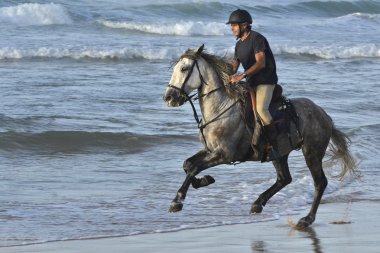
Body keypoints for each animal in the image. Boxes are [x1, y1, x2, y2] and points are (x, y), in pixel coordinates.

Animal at [162, 44, 358, 227]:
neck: (221, 108)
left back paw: (306, 219)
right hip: (280, 154)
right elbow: (188, 164)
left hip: (312, 153)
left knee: (319, 183)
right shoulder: (210, 150)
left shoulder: (223, 155)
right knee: (284, 178)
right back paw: (258, 204)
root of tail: (324, 115)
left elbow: (194, 168)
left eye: (184, 69)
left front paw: (177, 201)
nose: (169, 97)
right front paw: (204, 181)